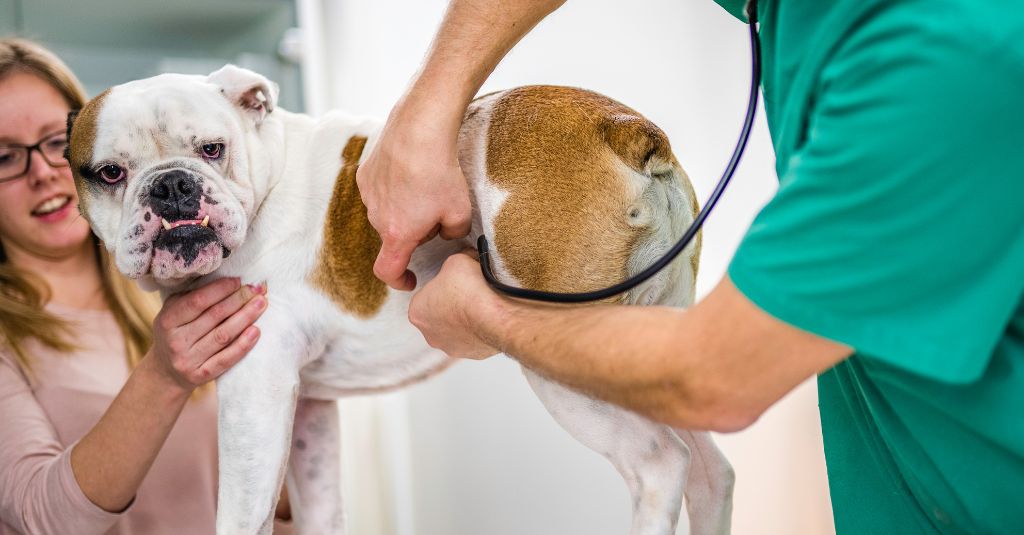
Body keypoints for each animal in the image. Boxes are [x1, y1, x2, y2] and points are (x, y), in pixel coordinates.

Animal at [68, 64, 733, 528]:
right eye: (108, 173)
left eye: (212, 149)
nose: (172, 186)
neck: (265, 175)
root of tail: (622, 127)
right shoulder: (307, 411)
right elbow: (322, 509)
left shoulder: (254, 382)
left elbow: (239, 513)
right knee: (710, 471)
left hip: (564, 357)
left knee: (658, 461)